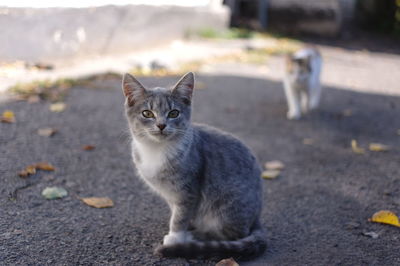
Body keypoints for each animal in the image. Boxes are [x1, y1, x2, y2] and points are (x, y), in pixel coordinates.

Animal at [122, 72, 266, 260]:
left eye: (174, 113)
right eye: (147, 113)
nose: (161, 125)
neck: (157, 149)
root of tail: (257, 218)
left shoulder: (189, 189)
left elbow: (180, 216)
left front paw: (176, 237)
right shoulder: (172, 194)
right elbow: (179, 212)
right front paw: (183, 227)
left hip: (227, 204)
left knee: (232, 234)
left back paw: (193, 237)